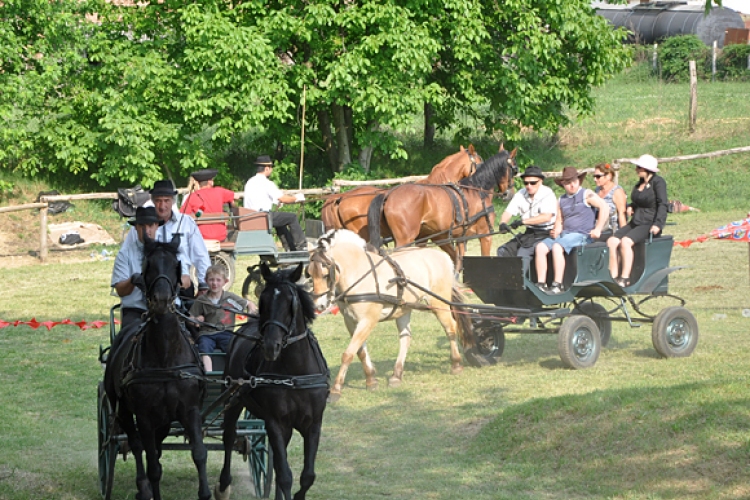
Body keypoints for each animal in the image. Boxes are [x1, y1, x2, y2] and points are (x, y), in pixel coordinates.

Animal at [102, 236, 209, 500]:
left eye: (175, 265)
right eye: (147, 265)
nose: (161, 300)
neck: (165, 356)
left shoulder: (190, 410)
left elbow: (199, 453)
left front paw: (205, 492)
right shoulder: (145, 417)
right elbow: (152, 465)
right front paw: (149, 488)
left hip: (164, 420)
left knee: (157, 449)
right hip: (123, 410)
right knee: (137, 445)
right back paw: (142, 487)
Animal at [214, 264, 326, 498]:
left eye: (290, 301)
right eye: (263, 299)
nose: (270, 346)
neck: (295, 374)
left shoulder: (313, 424)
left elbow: (307, 476)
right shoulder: (275, 422)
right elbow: (285, 476)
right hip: (233, 400)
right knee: (229, 436)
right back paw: (223, 484)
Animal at [306, 229, 494, 404]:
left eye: (325, 274)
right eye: (309, 274)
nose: (318, 305)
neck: (359, 274)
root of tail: (442, 256)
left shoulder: (368, 320)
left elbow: (348, 353)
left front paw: (336, 390)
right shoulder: (351, 321)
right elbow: (360, 352)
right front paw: (371, 380)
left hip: (438, 303)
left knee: (451, 329)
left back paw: (456, 364)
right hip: (405, 309)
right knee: (406, 337)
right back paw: (396, 375)